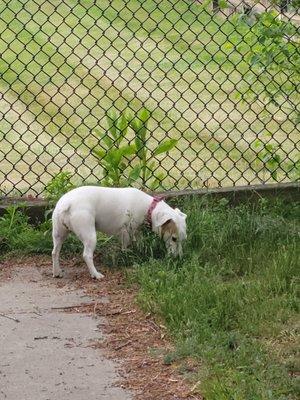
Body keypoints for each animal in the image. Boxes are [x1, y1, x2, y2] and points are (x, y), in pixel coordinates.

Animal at [52, 186, 186, 280]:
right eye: (174, 238)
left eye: (183, 240)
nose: (179, 258)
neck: (149, 207)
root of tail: (67, 204)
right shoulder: (126, 232)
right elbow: (125, 246)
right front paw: (126, 254)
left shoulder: (136, 231)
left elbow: (138, 242)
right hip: (89, 235)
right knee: (87, 255)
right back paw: (95, 274)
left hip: (59, 234)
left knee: (55, 252)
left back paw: (57, 272)